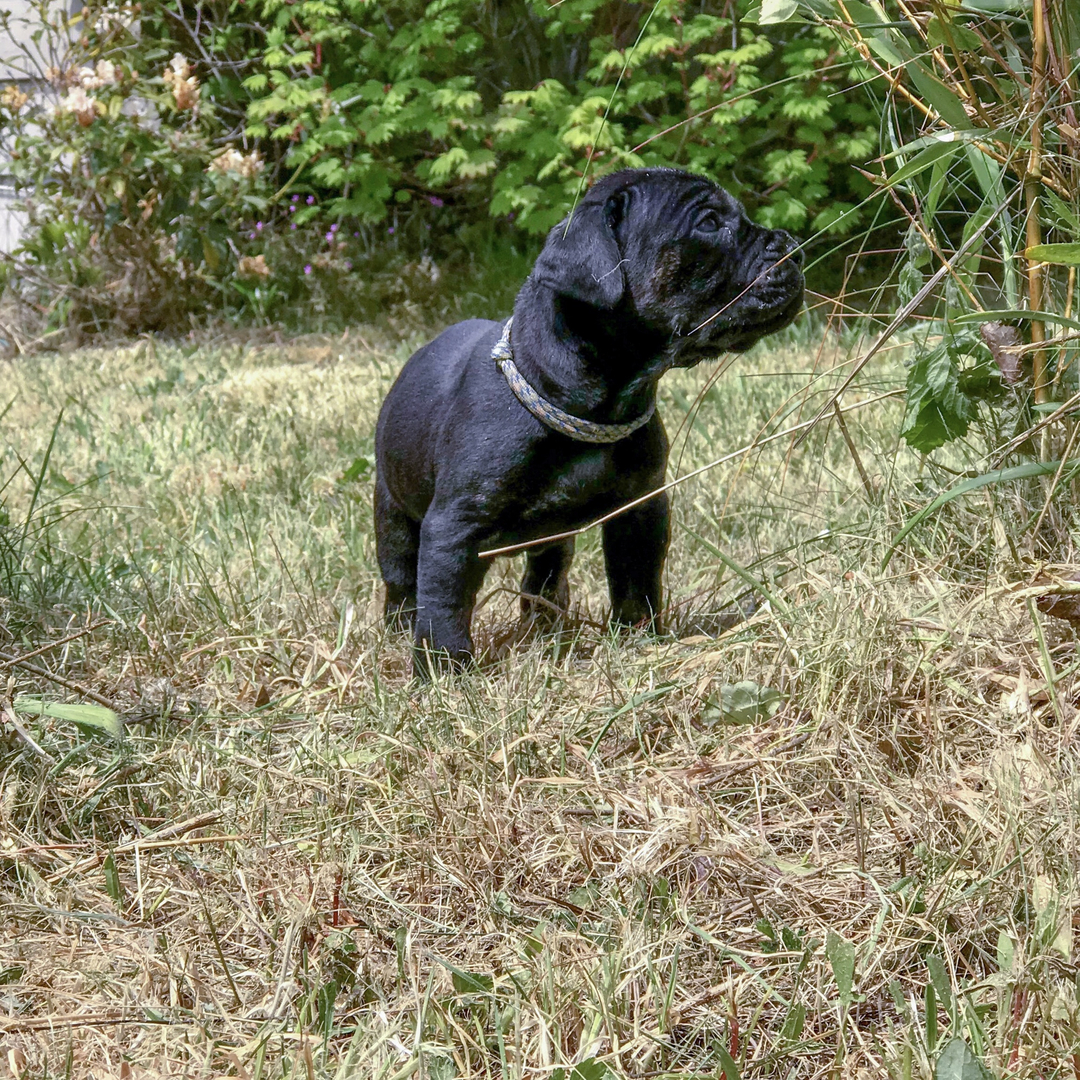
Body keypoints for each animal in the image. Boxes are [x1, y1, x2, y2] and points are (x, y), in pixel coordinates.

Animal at [373, 166, 803, 673]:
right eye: (710, 223)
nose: (795, 246)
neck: (593, 408)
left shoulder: (640, 508)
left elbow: (637, 580)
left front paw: (640, 639)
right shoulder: (453, 527)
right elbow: (444, 603)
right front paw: (444, 671)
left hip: (552, 538)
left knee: (544, 576)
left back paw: (545, 628)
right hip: (393, 512)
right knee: (403, 580)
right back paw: (400, 628)